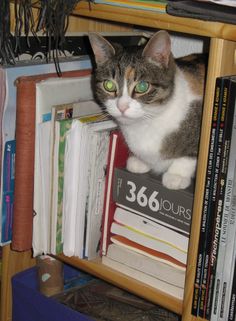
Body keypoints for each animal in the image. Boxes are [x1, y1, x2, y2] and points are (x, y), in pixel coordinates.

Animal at [88, 30, 206, 189]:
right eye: (109, 85)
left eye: (142, 86)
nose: (122, 106)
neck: (147, 122)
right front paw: (140, 161)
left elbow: (190, 154)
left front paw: (177, 175)